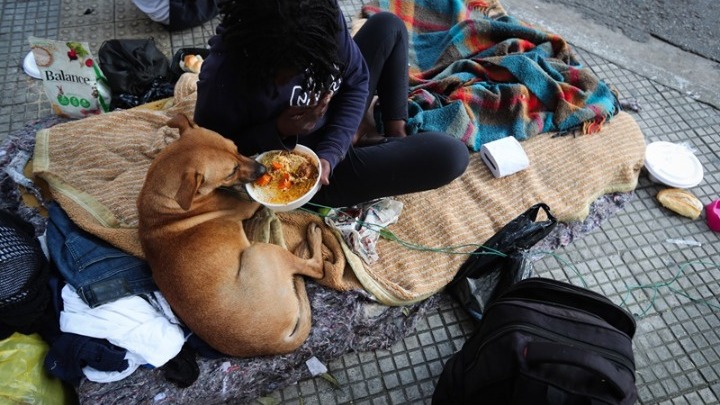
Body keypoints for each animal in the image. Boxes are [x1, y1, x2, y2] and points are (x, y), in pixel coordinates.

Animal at [136, 112, 326, 356]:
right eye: (231, 172)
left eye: (236, 147)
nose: (263, 170)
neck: (163, 202)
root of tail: (275, 343)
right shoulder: (247, 205)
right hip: (260, 253)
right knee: (314, 268)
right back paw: (308, 235)